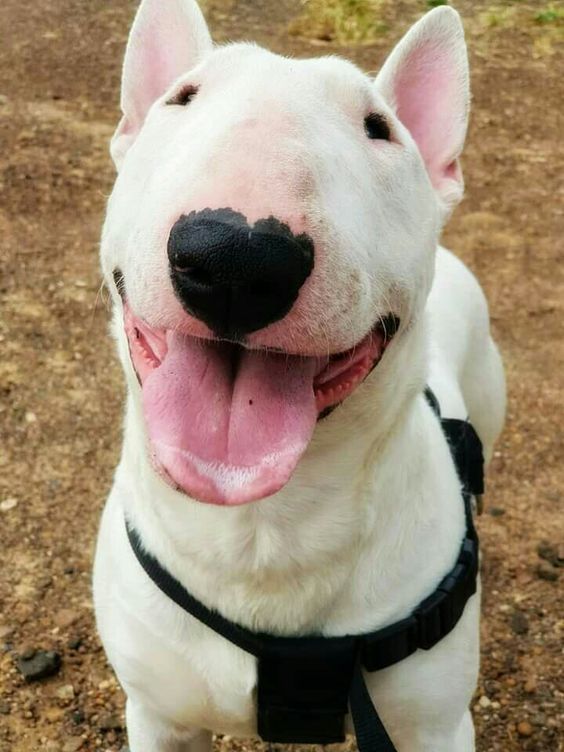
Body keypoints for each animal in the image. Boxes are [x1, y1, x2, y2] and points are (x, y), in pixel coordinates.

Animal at [93, 1, 506, 752]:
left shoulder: (434, 727)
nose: (237, 256)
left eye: (379, 128)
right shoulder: (159, 717)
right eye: (182, 98)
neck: (262, 530)